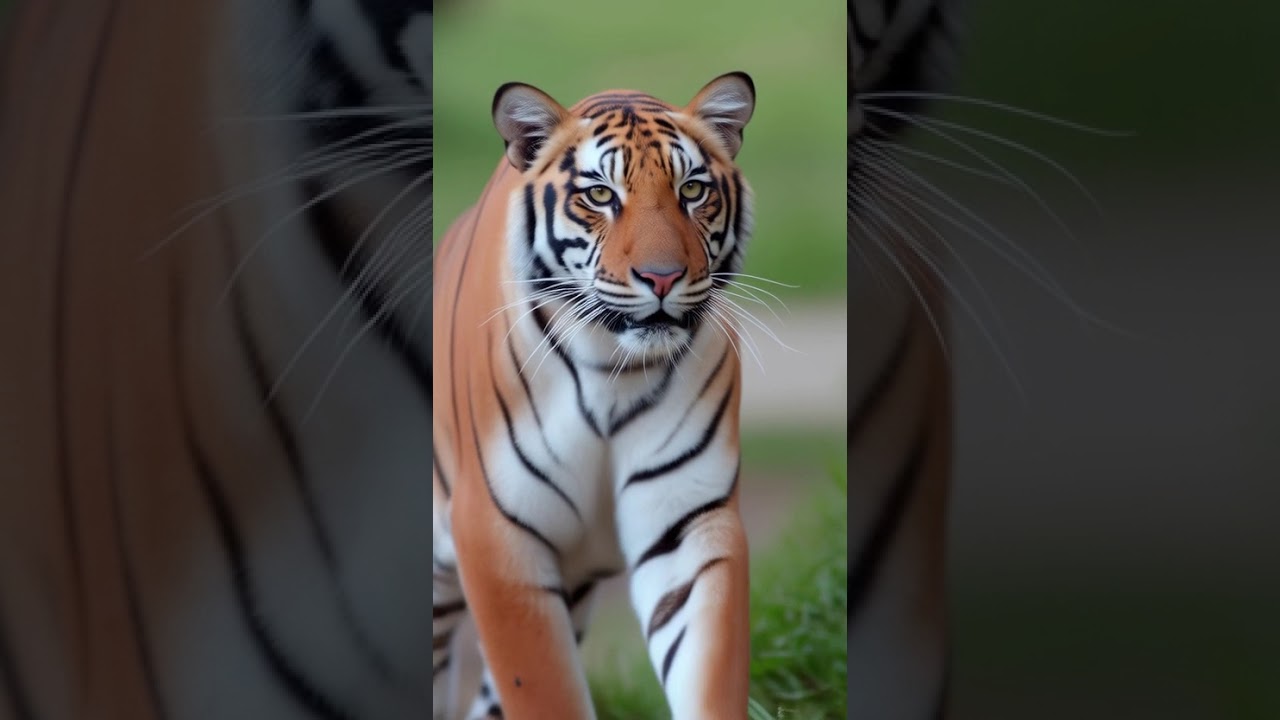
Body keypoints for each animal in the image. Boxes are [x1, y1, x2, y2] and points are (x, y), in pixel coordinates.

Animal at [432, 73, 757, 719]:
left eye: (692, 190)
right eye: (601, 195)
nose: (662, 277)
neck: (614, 370)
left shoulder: (688, 522)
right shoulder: (496, 537)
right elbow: (544, 690)